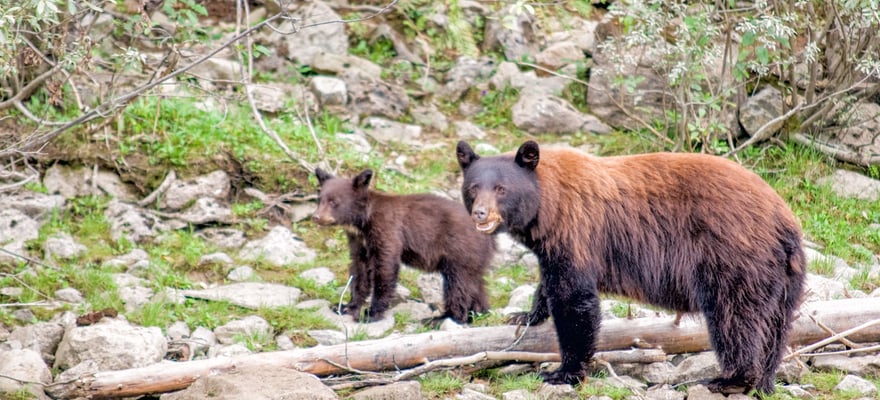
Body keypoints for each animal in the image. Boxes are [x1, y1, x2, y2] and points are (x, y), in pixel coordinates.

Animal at [312, 167, 498, 324]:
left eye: (334, 201)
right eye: (320, 199)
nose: (316, 217)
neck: (363, 221)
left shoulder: (386, 230)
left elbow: (385, 268)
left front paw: (371, 314)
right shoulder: (359, 241)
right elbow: (359, 271)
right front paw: (346, 307)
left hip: (460, 249)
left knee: (458, 284)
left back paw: (444, 318)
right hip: (474, 257)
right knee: (475, 283)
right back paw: (478, 313)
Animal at [458, 141, 808, 394]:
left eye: (501, 189)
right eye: (473, 187)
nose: (480, 214)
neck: (548, 203)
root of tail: (784, 223)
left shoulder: (577, 231)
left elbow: (574, 299)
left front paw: (565, 371)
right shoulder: (555, 246)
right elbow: (551, 282)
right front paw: (525, 315)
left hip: (733, 258)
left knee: (734, 318)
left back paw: (730, 379)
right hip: (784, 277)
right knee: (775, 328)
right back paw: (764, 381)